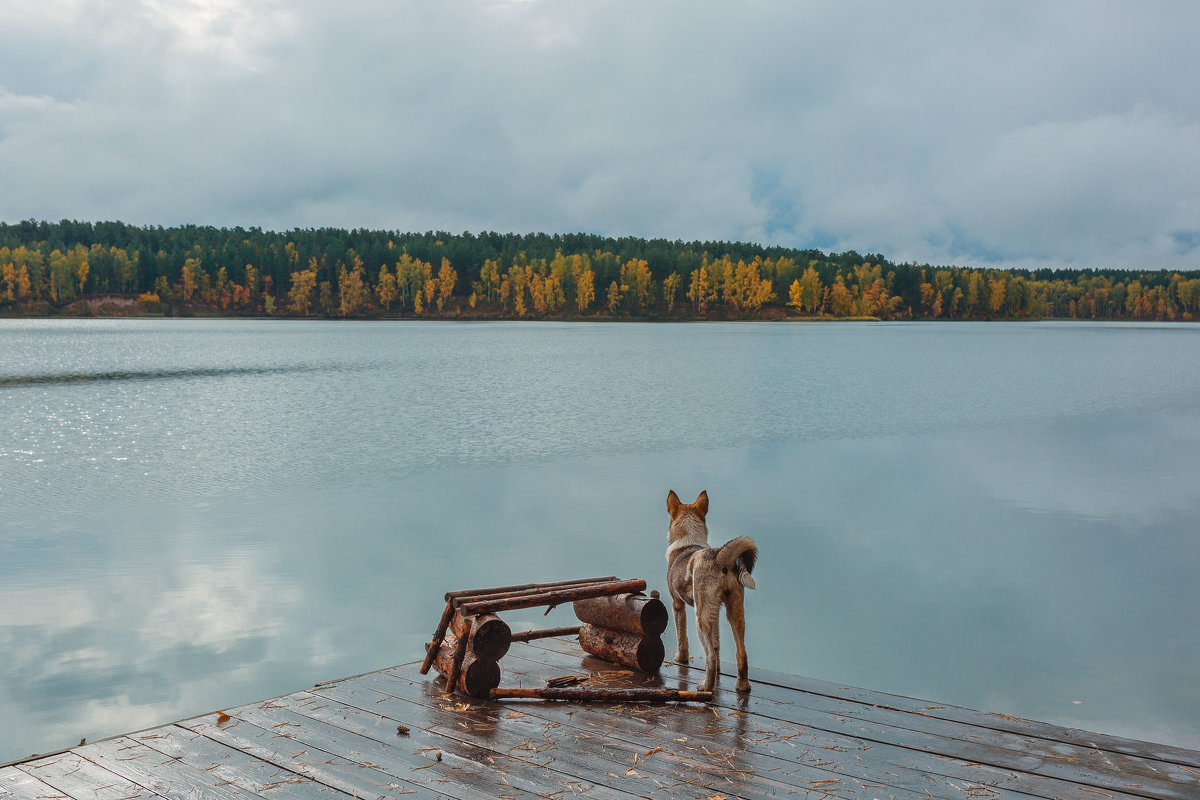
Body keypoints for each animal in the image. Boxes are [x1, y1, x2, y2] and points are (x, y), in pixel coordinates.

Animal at [667, 489, 758, 695]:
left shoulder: (677, 604)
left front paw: (680, 657)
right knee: (741, 653)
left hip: (700, 619)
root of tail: (718, 557)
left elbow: (681, 636)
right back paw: (742, 686)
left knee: (709, 657)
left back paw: (705, 687)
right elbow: (717, 645)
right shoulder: (715, 613)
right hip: (735, 614)